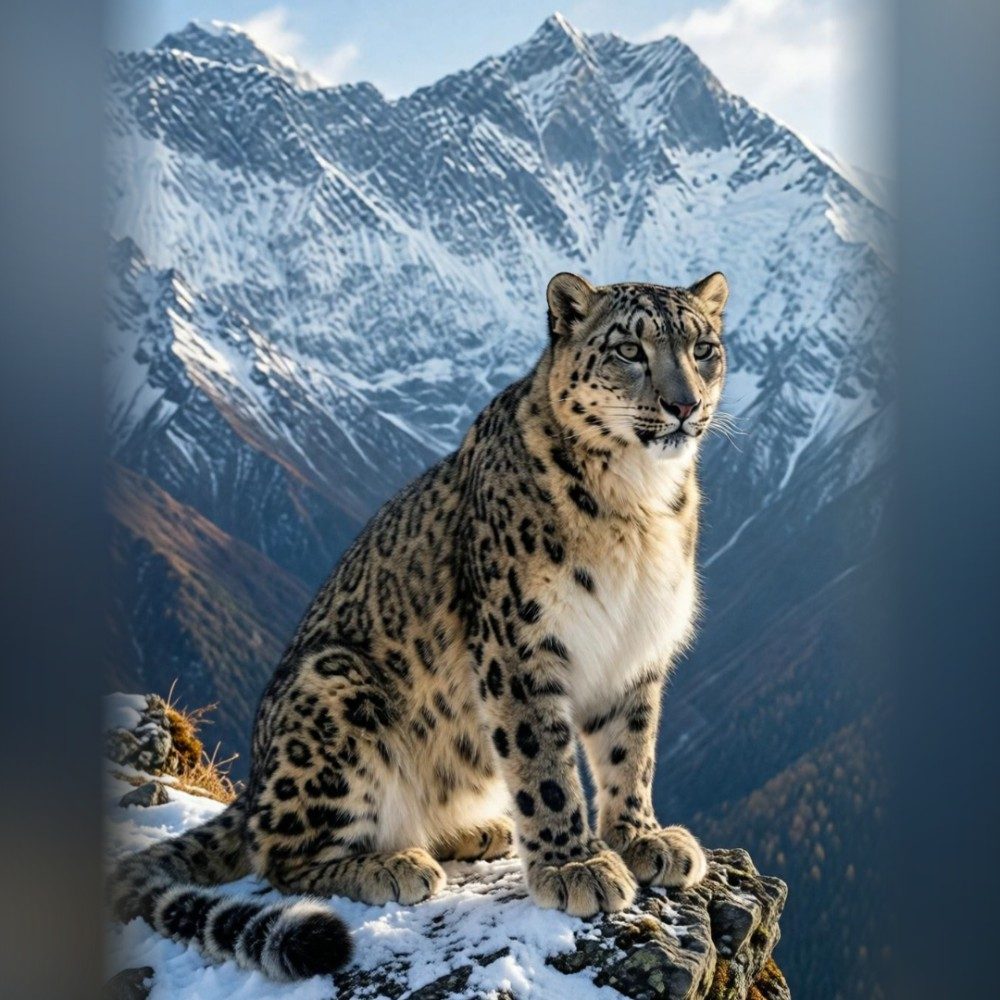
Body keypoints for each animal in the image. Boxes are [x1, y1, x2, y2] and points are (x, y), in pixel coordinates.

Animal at [110, 270, 730, 980]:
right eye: (630, 350)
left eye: (703, 349)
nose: (684, 405)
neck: (639, 502)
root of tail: (256, 779)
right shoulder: (520, 645)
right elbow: (544, 762)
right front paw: (575, 865)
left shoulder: (635, 650)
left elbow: (631, 752)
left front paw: (641, 838)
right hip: (335, 687)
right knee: (279, 853)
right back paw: (394, 865)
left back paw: (477, 830)